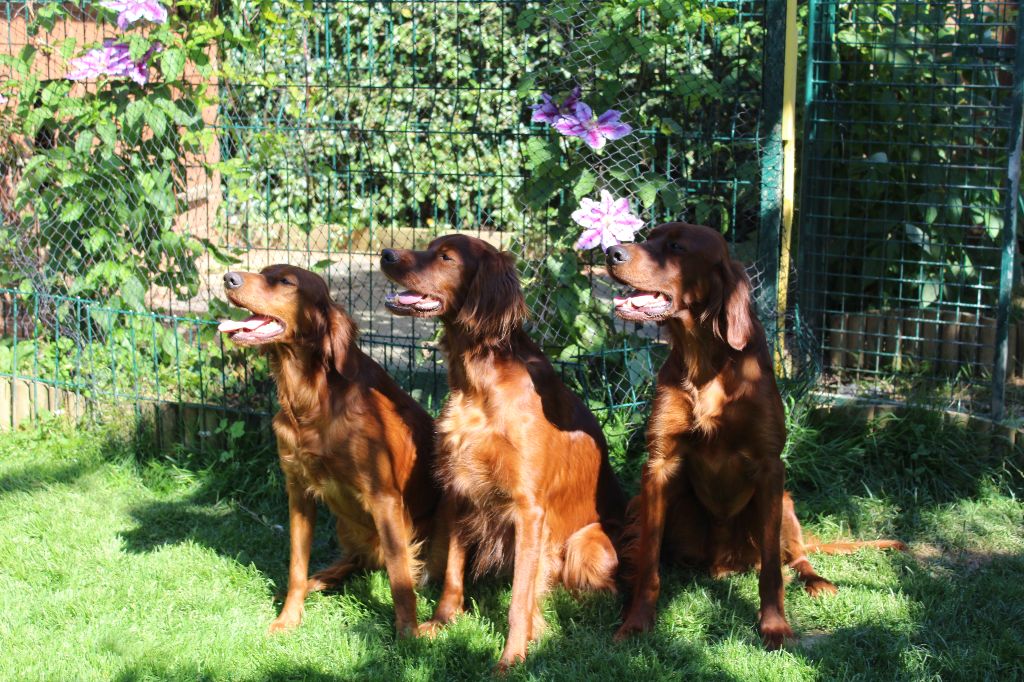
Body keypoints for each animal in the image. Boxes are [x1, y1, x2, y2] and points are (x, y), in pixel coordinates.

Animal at [216, 264, 440, 638]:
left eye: (286, 282)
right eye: (262, 272)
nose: (229, 278)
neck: (311, 398)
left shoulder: (384, 498)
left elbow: (400, 576)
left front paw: (408, 633)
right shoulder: (298, 492)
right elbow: (296, 565)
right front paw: (289, 617)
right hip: (347, 527)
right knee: (351, 562)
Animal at [380, 235, 626, 667]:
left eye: (446, 257)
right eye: (429, 246)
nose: (386, 255)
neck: (478, 381)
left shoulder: (529, 511)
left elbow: (519, 599)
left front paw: (512, 658)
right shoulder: (461, 492)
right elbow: (453, 574)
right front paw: (440, 623)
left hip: (585, 545)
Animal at [598, 224, 905, 647]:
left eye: (676, 247)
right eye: (648, 235)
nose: (611, 252)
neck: (705, 361)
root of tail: (724, 564)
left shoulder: (769, 466)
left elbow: (773, 568)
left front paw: (775, 627)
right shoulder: (658, 465)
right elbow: (648, 562)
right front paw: (636, 622)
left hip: (786, 503)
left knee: (797, 556)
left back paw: (818, 581)